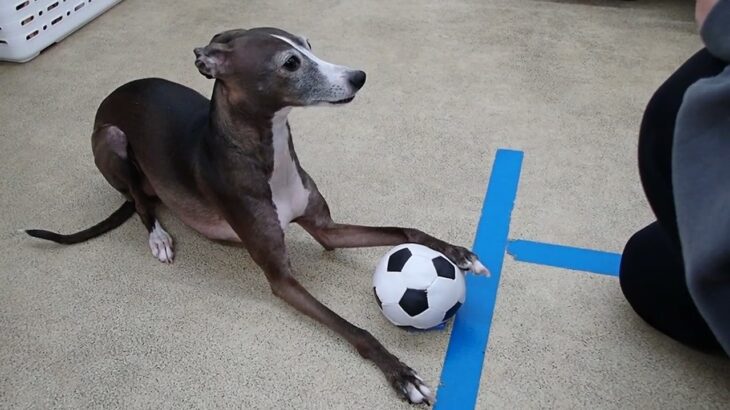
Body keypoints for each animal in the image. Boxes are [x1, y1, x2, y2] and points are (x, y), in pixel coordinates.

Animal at [25, 27, 486, 406]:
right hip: (112, 139)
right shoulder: (282, 279)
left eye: (308, 44)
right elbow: (357, 331)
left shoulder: (327, 230)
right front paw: (403, 376)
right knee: (140, 202)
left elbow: (404, 229)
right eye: (290, 63)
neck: (266, 154)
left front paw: (458, 254)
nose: (359, 76)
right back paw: (158, 237)